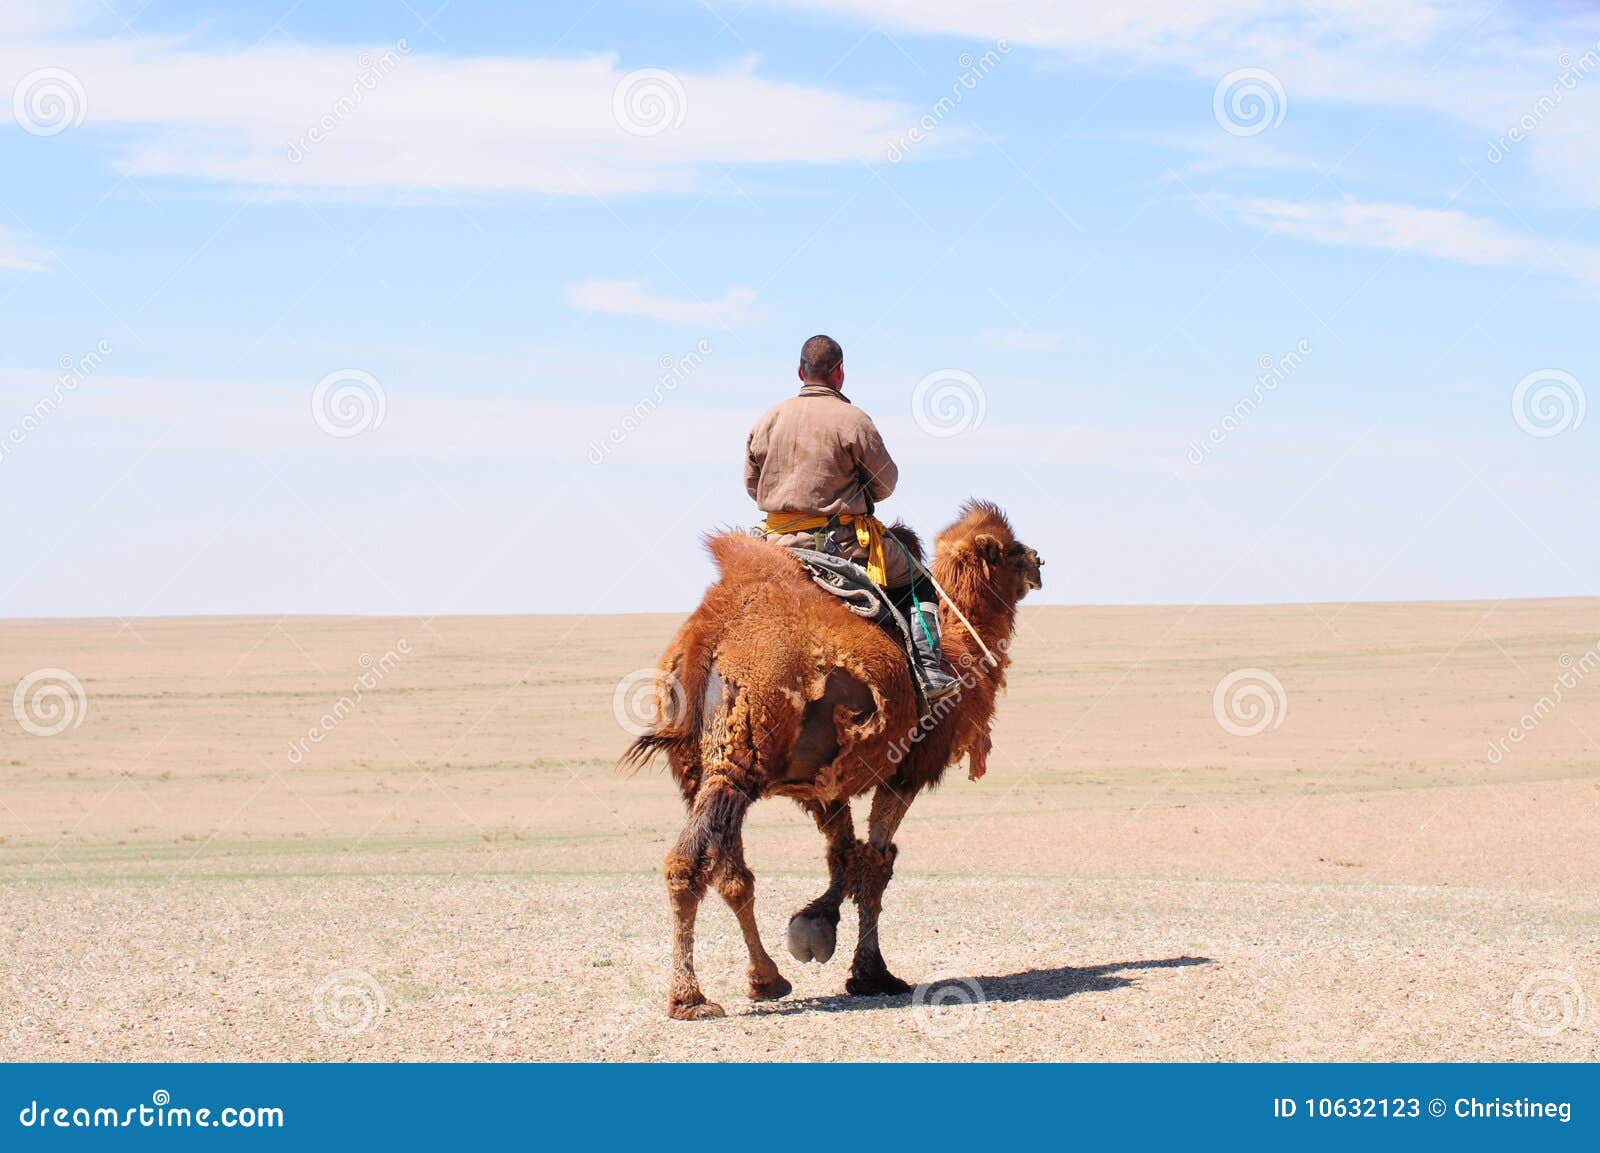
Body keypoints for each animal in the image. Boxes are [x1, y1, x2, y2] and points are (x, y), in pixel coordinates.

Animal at [617, 495, 1043, 1017]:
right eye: (1010, 550)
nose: (1040, 562)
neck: (958, 655)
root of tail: (707, 634)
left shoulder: (823, 780)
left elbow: (844, 854)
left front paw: (816, 929)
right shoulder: (905, 772)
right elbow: (875, 864)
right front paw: (867, 969)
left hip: (700, 771)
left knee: (731, 873)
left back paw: (765, 979)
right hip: (736, 764)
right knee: (688, 864)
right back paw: (690, 998)